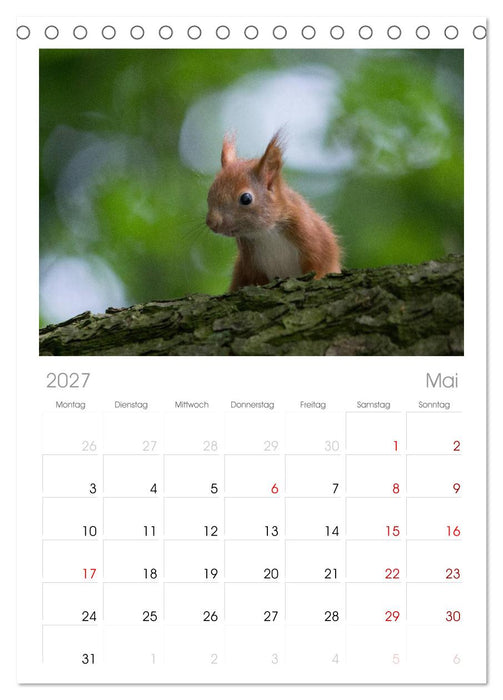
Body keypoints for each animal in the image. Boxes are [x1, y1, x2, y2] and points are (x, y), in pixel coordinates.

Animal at [206, 132, 342, 292]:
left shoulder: (315, 239)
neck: (266, 232)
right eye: (210, 193)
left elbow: (319, 266)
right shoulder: (251, 265)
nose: (211, 222)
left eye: (246, 198)